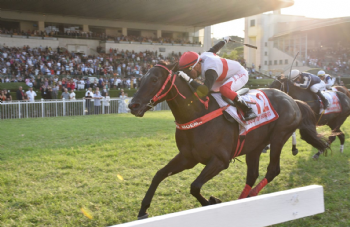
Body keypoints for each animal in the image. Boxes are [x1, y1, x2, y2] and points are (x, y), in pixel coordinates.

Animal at [129, 63, 328, 219]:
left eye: (154, 79)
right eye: (140, 79)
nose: (133, 105)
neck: (198, 113)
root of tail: (292, 99)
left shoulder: (220, 160)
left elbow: (194, 186)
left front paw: (212, 201)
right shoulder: (188, 158)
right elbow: (159, 174)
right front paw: (143, 210)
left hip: (279, 136)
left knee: (273, 170)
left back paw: (251, 195)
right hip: (255, 146)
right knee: (252, 174)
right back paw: (241, 200)